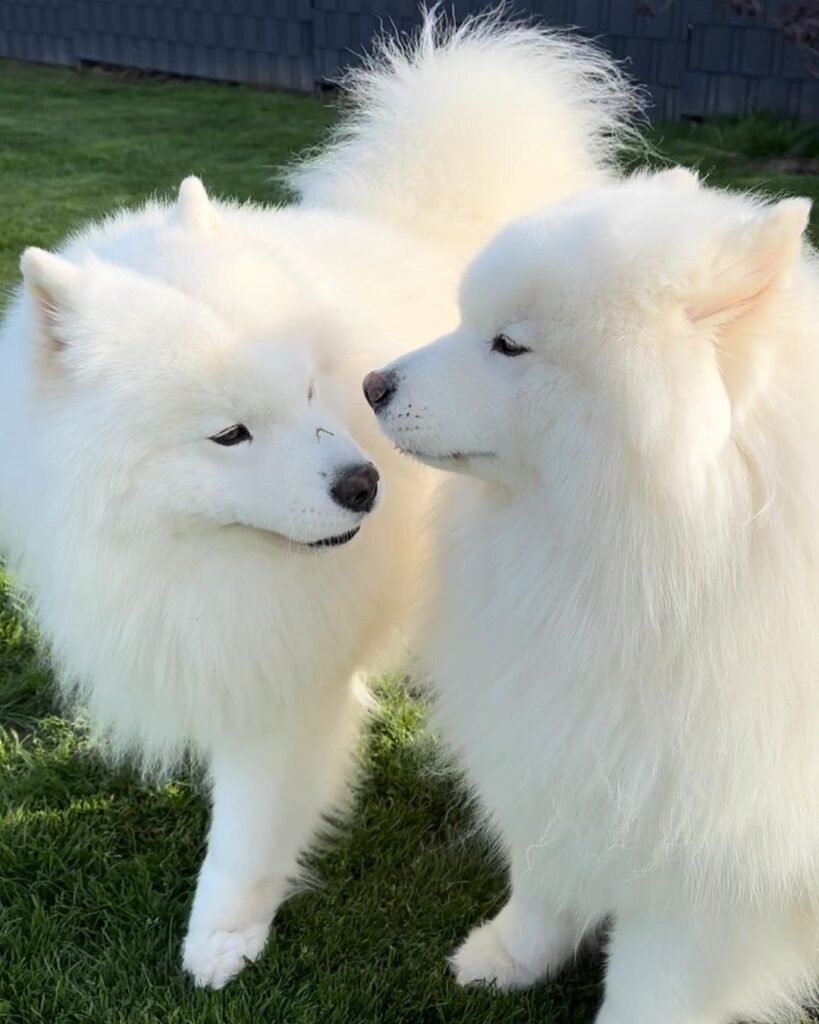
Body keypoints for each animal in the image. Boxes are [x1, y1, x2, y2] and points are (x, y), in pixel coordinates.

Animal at [0, 12, 638, 987]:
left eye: (307, 392)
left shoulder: (282, 673)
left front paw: (221, 931)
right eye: (230, 434)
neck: (183, 550)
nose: (363, 483)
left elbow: (247, 823)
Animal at [368, 165, 818, 1015]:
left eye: (509, 344)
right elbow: (543, 881)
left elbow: (655, 981)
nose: (372, 381)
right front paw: (510, 955)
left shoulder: (717, 855)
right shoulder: (567, 749)